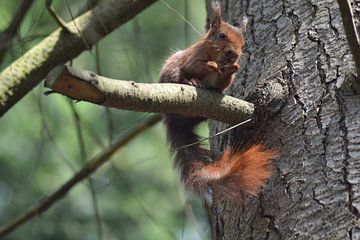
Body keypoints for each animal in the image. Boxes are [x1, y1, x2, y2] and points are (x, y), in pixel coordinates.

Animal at [160, 1, 276, 201]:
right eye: (222, 36)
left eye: (243, 43)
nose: (234, 54)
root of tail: (173, 121)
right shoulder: (193, 58)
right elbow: (196, 66)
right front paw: (211, 66)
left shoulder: (223, 80)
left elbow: (224, 82)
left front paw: (232, 68)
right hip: (172, 72)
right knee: (180, 76)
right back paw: (190, 82)